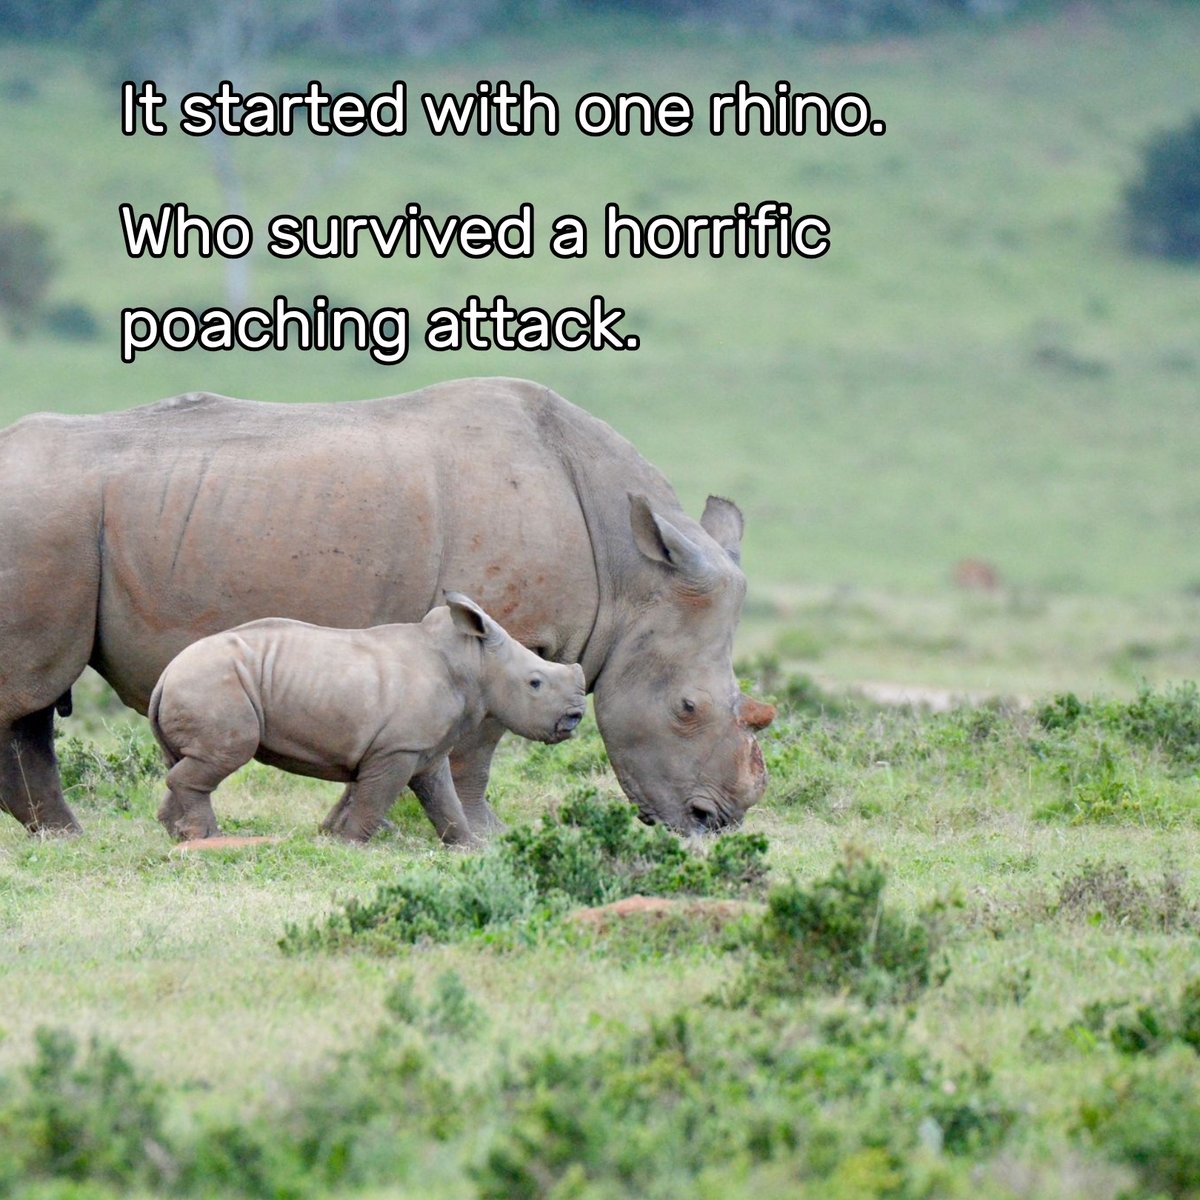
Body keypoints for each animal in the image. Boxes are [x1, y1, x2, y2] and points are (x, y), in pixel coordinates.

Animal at [149, 594, 587, 845]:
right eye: (535, 682)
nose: (575, 717)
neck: (474, 661)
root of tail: (166, 674)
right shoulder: (397, 748)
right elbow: (376, 799)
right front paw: (349, 845)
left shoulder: (425, 750)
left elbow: (443, 801)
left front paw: (470, 848)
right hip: (213, 684)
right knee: (223, 756)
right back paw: (207, 838)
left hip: (201, 683)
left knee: (187, 761)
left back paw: (176, 834)